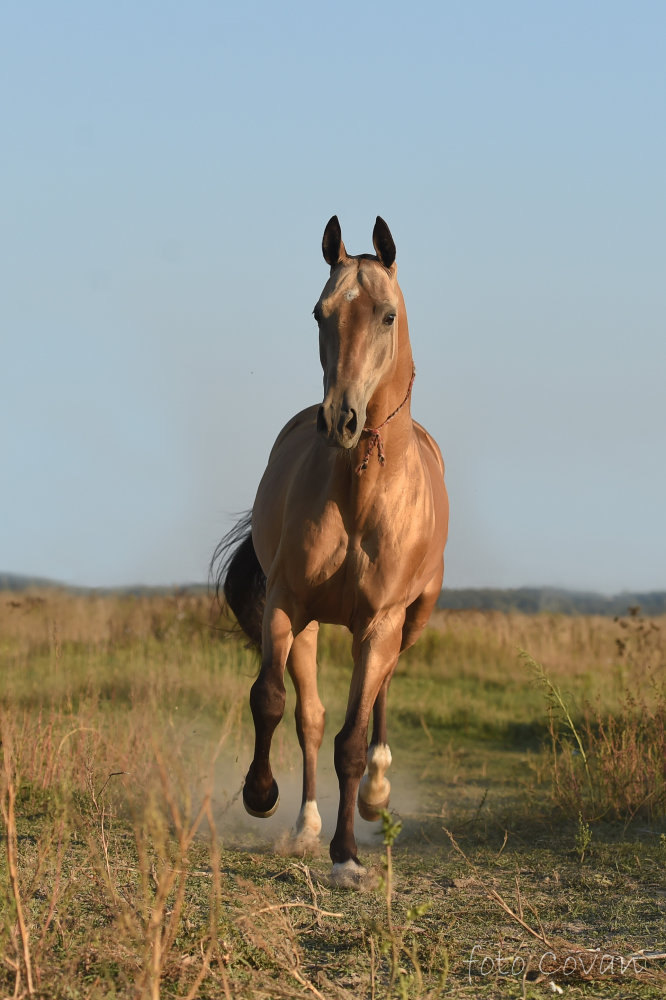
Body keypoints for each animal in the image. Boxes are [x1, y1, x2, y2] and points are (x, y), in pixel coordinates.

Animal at [215, 215, 448, 888]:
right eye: (319, 313)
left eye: (387, 315)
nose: (340, 420)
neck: (359, 489)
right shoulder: (286, 603)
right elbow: (272, 701)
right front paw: (261, 795)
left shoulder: (380, 622)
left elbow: (351, 738)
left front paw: (347, 857)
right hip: (312, 625)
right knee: (311, 716)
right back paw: (304, 827)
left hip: (409, 621)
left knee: (380, 695)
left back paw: (376, 792)